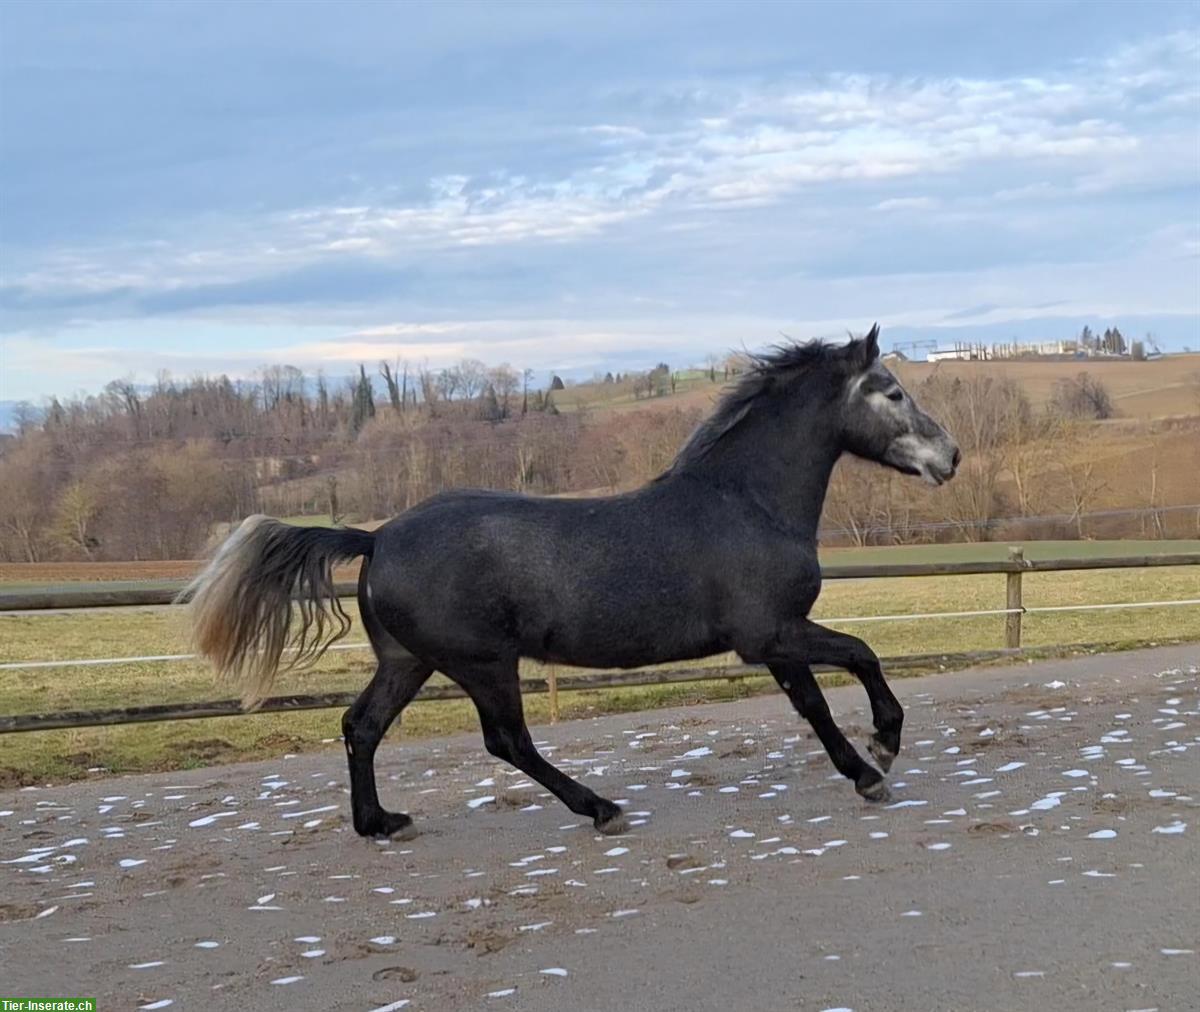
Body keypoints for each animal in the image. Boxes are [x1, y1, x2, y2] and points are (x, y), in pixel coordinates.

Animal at [182, 325, 959, 838]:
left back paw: (380, 822)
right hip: (482, 663)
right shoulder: (772, 632)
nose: (949, 457)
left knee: (361, 726)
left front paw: (868, 765)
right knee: (507, 742)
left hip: (410, 662)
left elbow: (817, 699)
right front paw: (879, 756)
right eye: (891, 391)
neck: (744, 502)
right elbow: (855, 662)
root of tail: (376, 537)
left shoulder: (773, 642)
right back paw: (600, 808)